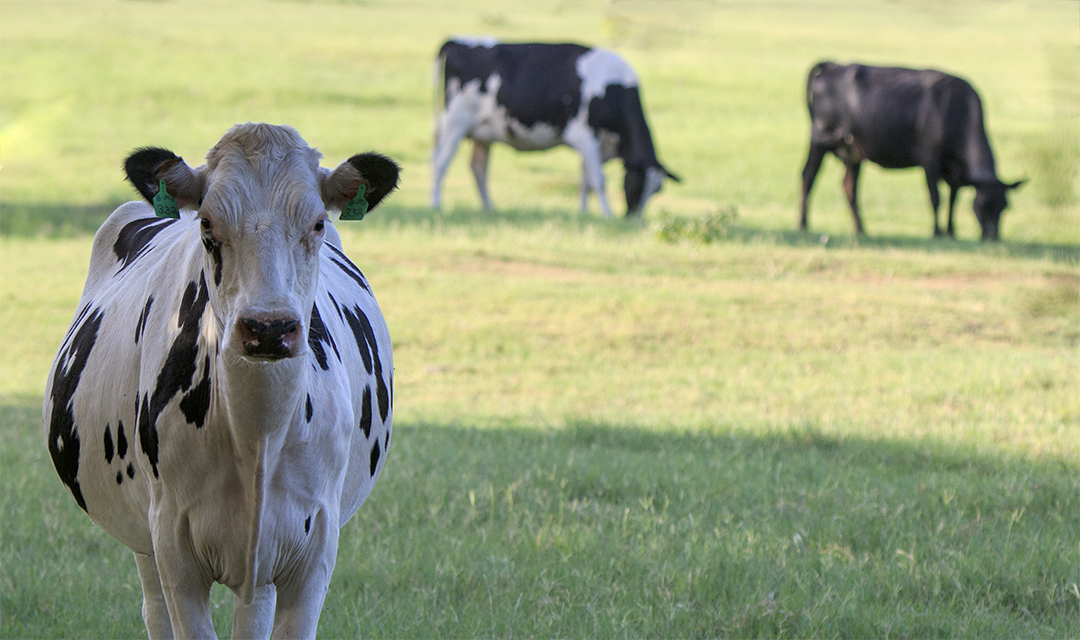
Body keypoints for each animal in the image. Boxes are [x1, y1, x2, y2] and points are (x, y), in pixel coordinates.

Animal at [43, 123, 400, 639]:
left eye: (317, 223)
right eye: (209, 224)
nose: (269, 327)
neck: (256, 434)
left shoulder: (315, 548)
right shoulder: (172, 540)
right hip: (144, 538)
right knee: (154, 610)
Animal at [431, 38, 680, 218]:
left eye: (657, 189)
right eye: (636, 183)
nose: (634, 220)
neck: (613, 89)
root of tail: (455, 42)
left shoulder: (596, 145)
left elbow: (585, 182)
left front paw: (583, 213)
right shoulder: (584, 136)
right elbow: (598, 180)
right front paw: (607, 215)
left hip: (483, 133)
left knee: (478, 168)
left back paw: (488, 208)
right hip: (455, 122)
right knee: (440, 162)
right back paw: (435, 204)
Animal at [799, 61, 1024, 240]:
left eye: (1005, 206)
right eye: (982, 205)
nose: (992, 237)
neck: (956, 111)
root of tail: (832, 66)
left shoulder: (955, 171)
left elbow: (953, 199)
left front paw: (951, 231)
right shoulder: (930, 160)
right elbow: (936, 198)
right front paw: (937, 232)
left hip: (853, 152)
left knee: (849, 188)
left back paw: (861, 229)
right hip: (819, 140)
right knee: (807, 177)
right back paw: (803, 224)